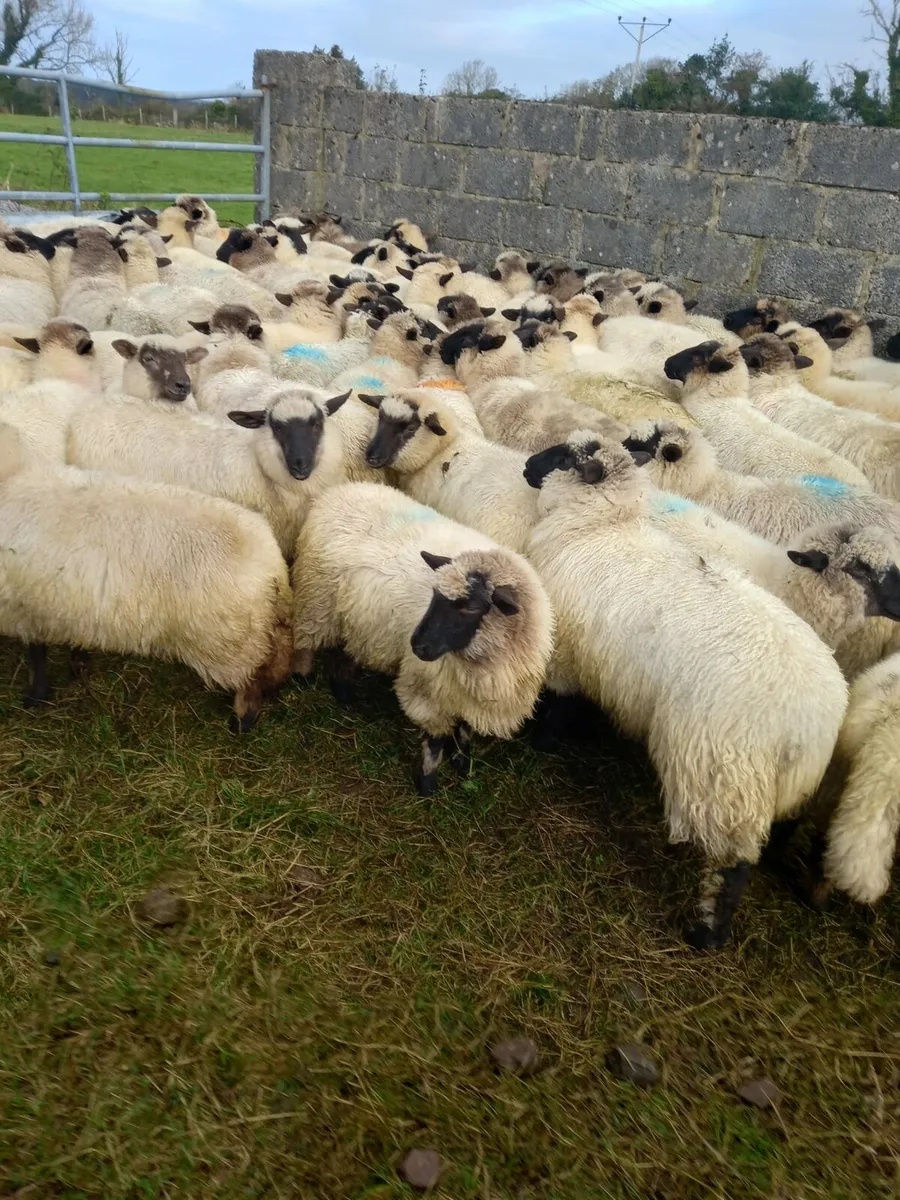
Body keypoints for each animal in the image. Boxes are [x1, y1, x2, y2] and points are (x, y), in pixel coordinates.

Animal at [0, 422, 291, 731]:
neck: (11, 478)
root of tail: (272, 563)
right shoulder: (57, 605)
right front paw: (77, 662)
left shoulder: (23, 607)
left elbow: (36, 654)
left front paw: (36, 696)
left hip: (230, 645)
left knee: (252, 681)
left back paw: (241, 721)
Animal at [292, 481, 553, 794]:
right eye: (434, 595)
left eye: (471, 608)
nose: (417, 645)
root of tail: (342, 489)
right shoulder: (428, 691)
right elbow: (435, 741)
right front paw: (427, 784)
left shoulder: (469, 694)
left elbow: (465, 729)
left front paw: (462, 761)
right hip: (316, 599)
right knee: (303, 639)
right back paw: (303, 675)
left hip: (358, 615)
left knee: (348, 651)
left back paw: (344, 694)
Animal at [524, 432, 848, 948]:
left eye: (560, 457)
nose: (526, 467)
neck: (596, 527)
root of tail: (809, 720)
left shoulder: (569, 656)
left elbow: (559, 707)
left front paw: (541, 742)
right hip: (794, 782)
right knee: (784, 826)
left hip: (722, 777)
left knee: (733, 864)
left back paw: (706, 933)